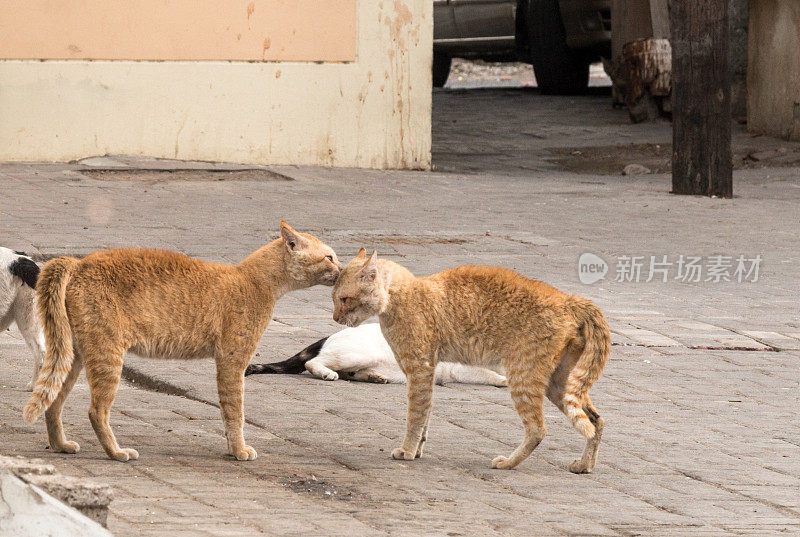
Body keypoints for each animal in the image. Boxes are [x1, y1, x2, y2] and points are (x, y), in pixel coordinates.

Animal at [23, 221, 342, 460]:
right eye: (329, 257)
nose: (341, 270)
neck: (253, 279)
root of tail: (79, 263)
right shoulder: (233, 361)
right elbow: (234, 411)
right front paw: (239, 450)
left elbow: (228, 412)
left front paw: (232, 448)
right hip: (107, 355)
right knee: (96, 411)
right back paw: (116, 452)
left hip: (74, 354)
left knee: (53, 403)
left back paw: (61, 445)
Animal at [334, 249, 608, 472]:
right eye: (334, 297)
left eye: (344, 299)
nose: (335, 318)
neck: (401, 294)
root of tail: (569, 299)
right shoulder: (426, 372)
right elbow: (426, 415)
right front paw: (418, 450)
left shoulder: (419, 369)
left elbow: (415, 415)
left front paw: (408, 451)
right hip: (560, 384)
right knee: (595, 421)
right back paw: (584, 466)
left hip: (523, 377)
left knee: (538, 429)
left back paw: (508, 463)